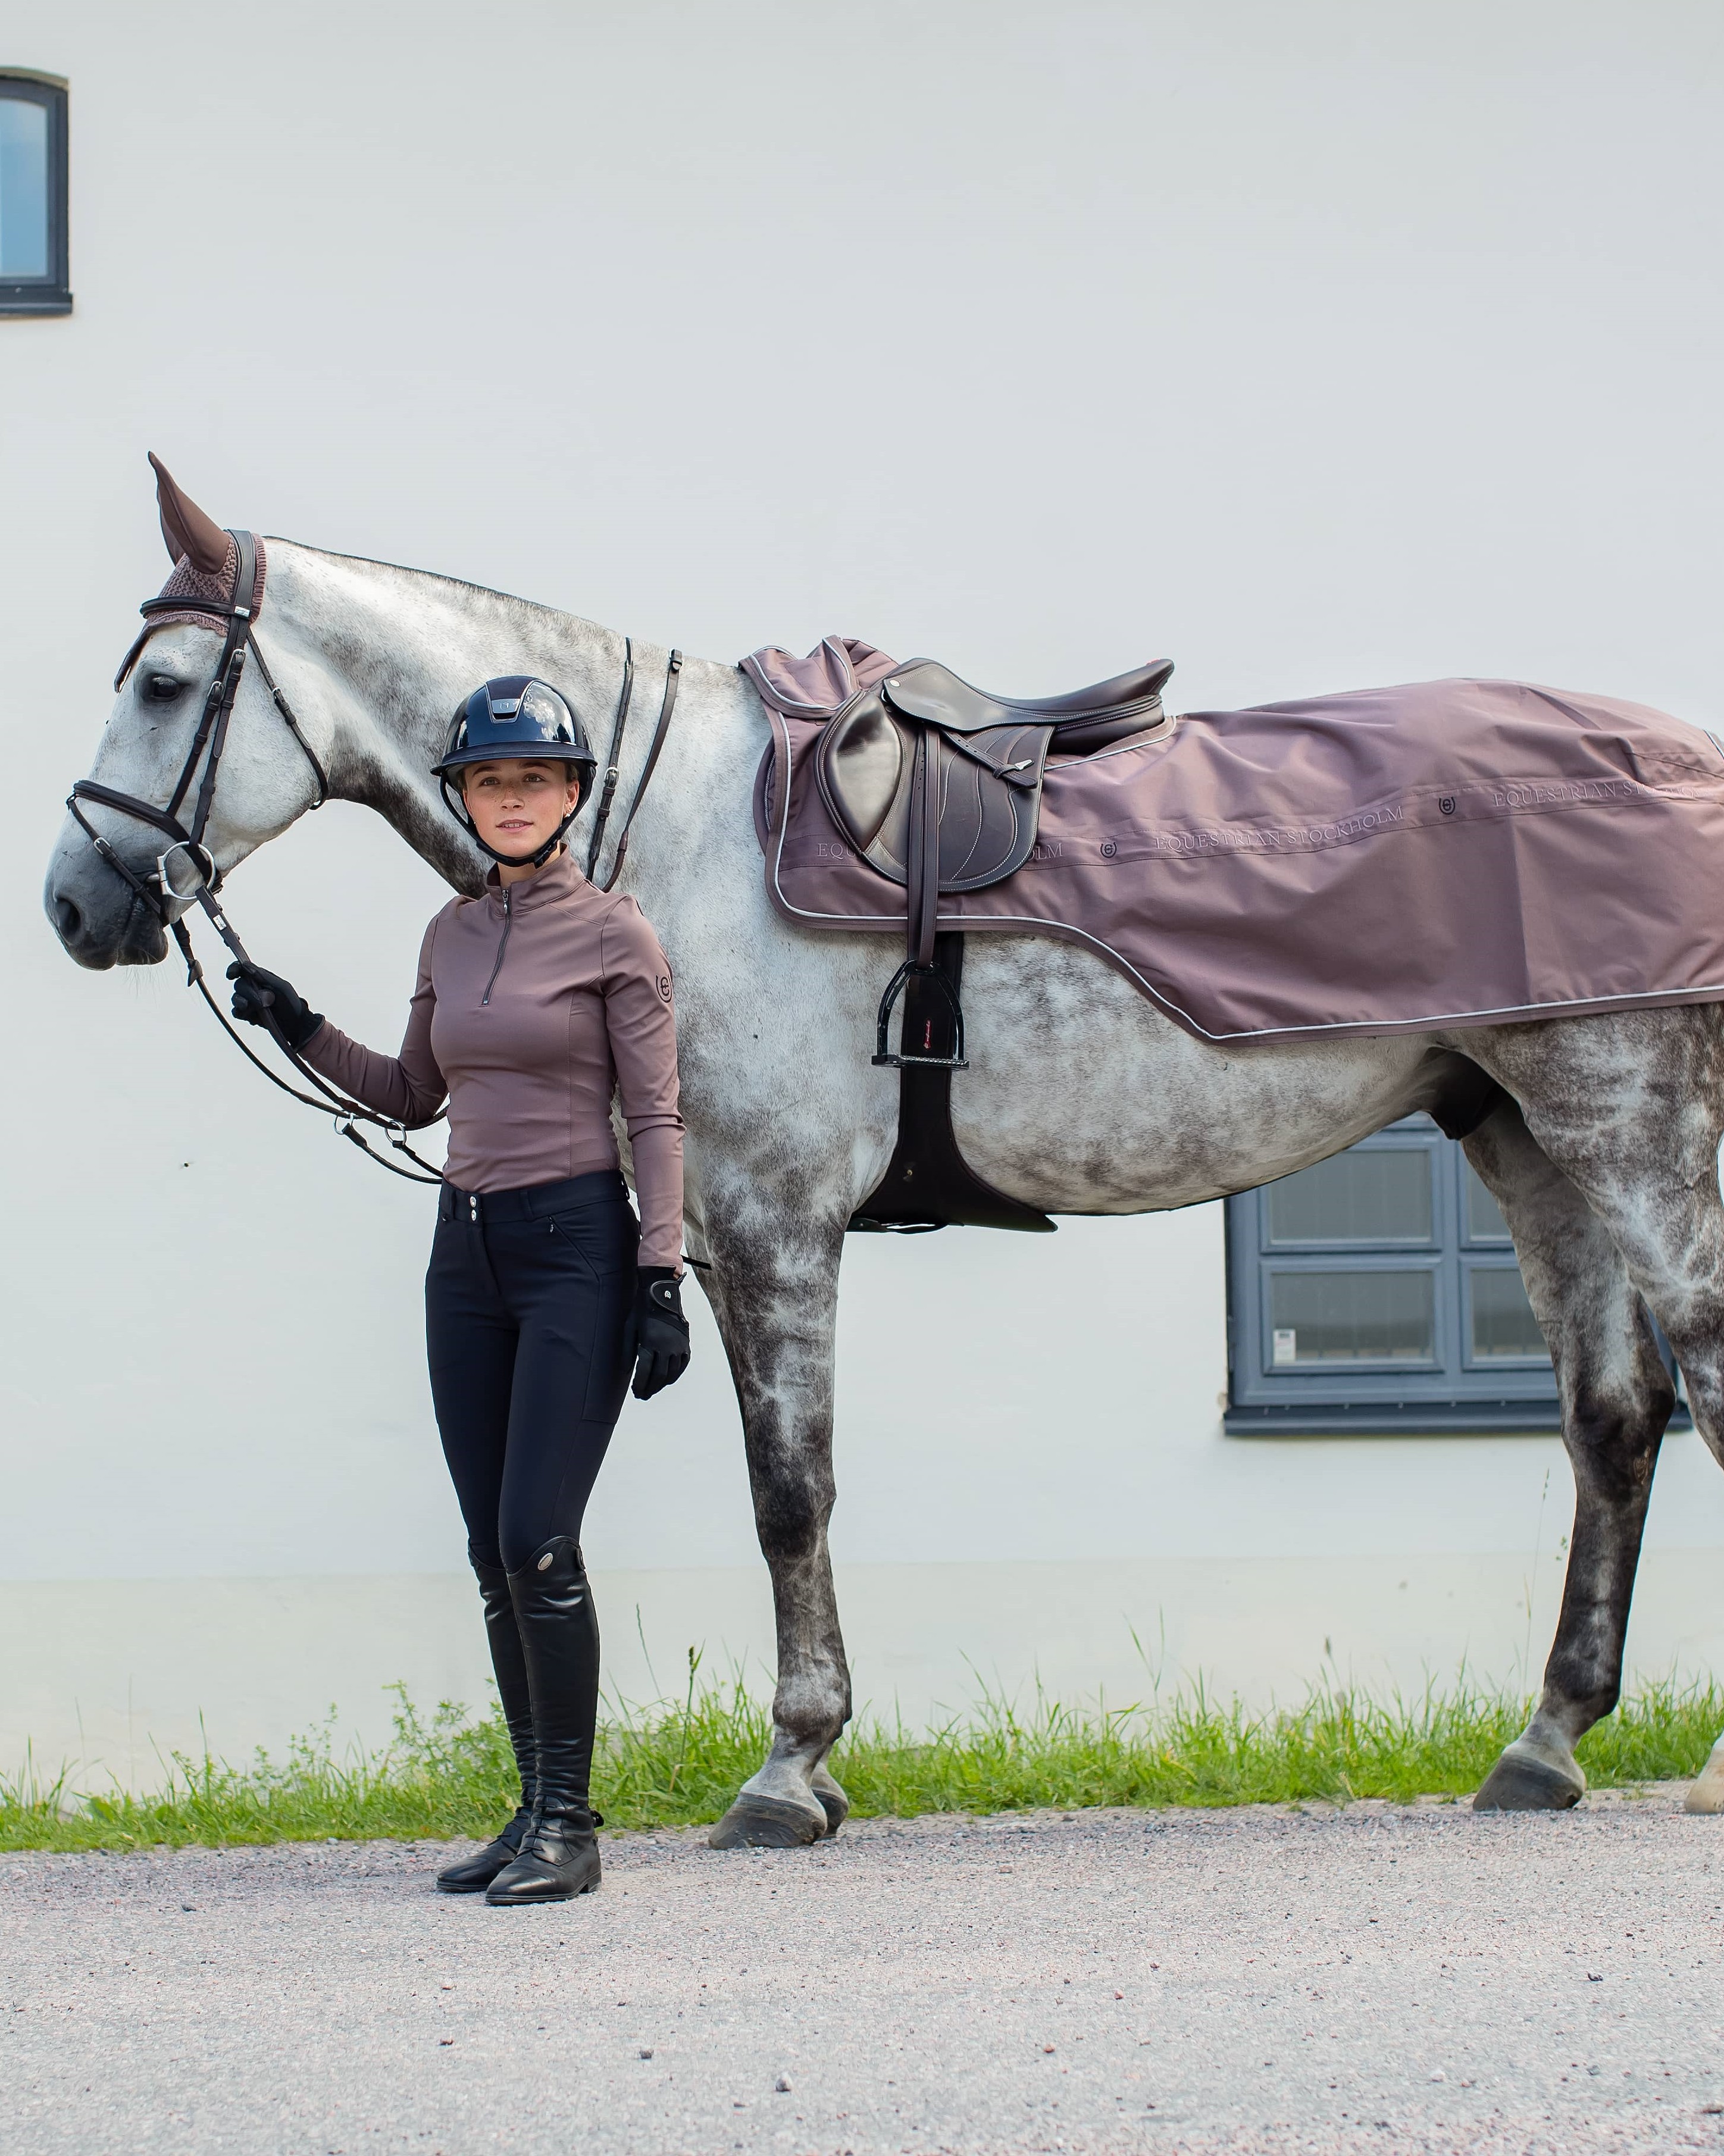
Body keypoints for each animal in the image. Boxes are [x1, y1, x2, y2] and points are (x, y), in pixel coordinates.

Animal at [40, 485, 1724, 1836]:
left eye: (169, 683)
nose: (73, 899)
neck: (679, 833)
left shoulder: (772, 1217)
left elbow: (790, 1488)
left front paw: (791, 1768)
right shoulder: (717, 1236)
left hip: (1624, 1120)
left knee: (1694, 1376)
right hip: (1523, 1136)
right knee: (1610, 1420)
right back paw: (1542, 1742)